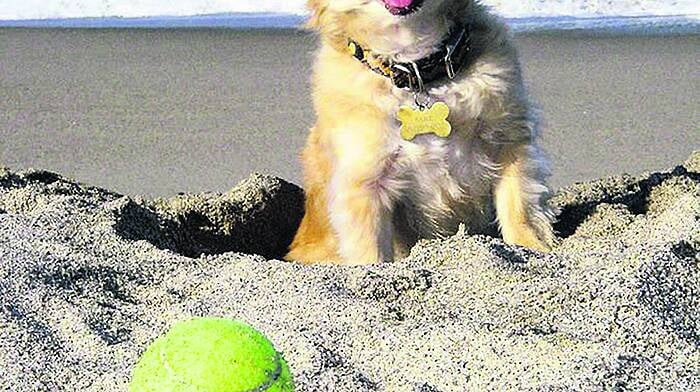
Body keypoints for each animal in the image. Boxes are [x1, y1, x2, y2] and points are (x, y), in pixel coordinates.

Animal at [286, 0, 556, 264]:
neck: (417, 73)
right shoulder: (364, 187)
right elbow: (372, 253)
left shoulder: (510, 143)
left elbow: (520, 211)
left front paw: (533, 248)